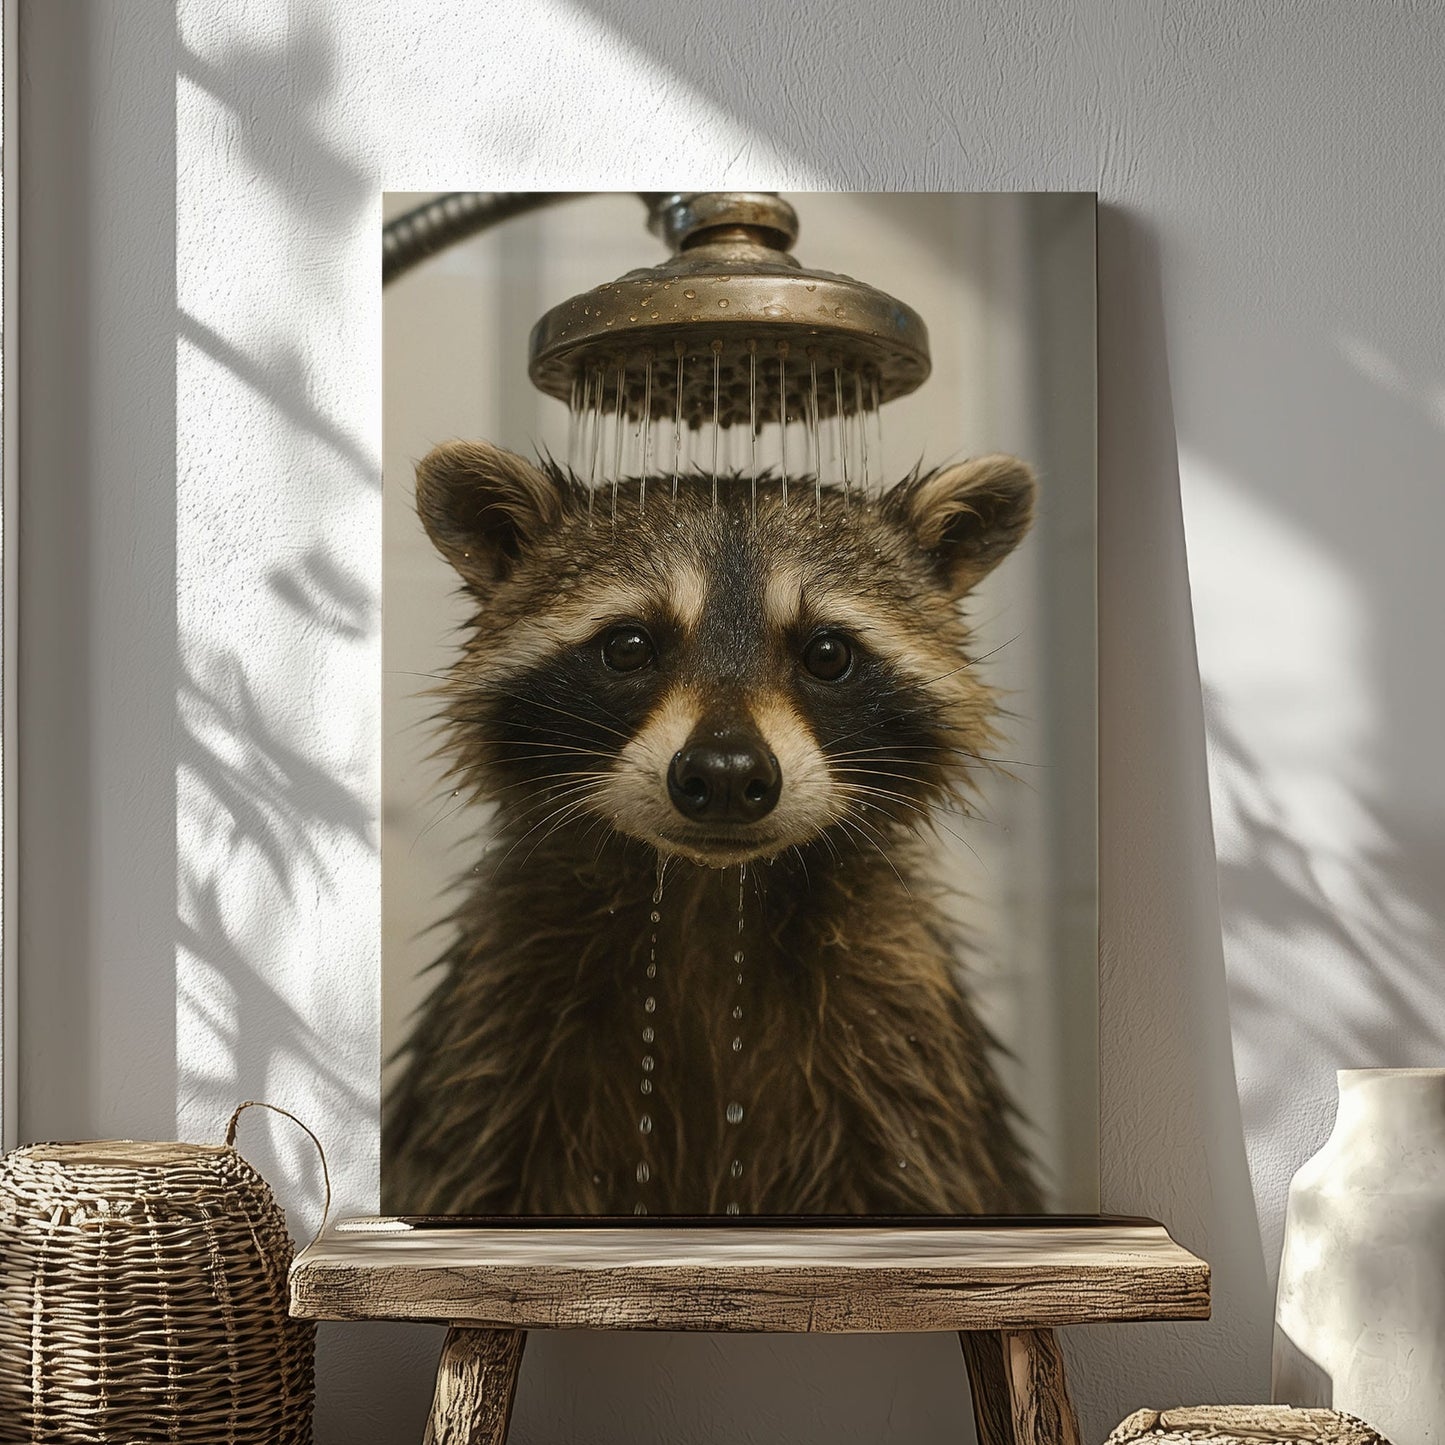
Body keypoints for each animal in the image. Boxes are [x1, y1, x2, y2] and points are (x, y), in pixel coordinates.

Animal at [383, 441, 1043, 1216]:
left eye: (827, 653)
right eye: (628, 645)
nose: (726, 774)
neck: (711, 896)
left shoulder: (902, 1047)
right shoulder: (494, 1043)